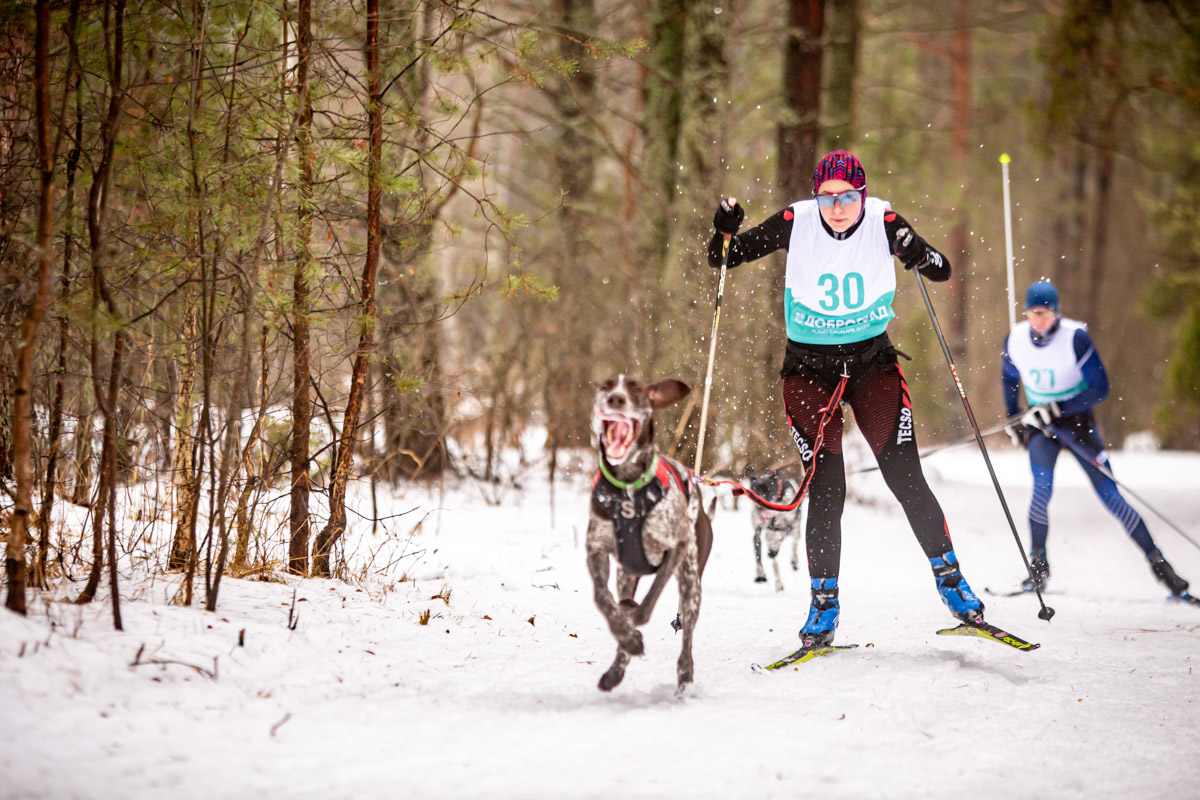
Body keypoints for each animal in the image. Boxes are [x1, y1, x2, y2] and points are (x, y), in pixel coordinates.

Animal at [588, 376, 710, 695]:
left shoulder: (676, 548)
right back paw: (616, 668)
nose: (616, 399)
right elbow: (603, 599)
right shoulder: (597, 551)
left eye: (636, 389)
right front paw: (627, 634)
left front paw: (634, 618)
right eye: (606, 386)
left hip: (691, 580)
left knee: (687, 633)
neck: (629, 489)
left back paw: (685, 674)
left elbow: (649, 601)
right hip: (626, 575)